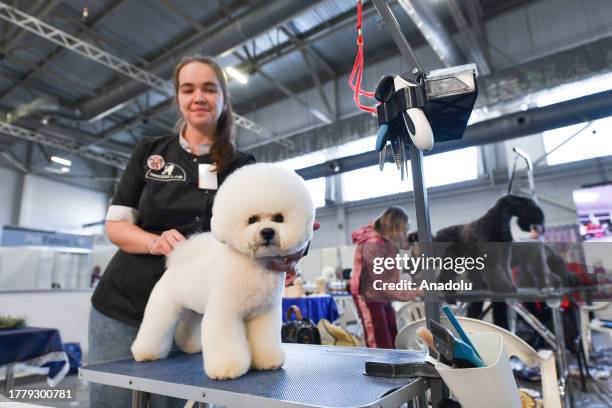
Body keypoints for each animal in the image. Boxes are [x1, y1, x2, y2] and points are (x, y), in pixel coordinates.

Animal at [133, 163, 316, 380]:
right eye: (252, 219)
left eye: (279, 218)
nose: (267, 232)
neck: (254, 267)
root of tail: (178, 258)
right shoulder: (225, 312)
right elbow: (225, 341)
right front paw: (227, 369)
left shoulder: (263, 314)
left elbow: (264, 340)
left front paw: (268, 361)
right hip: (164, 306)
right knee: (156, 327)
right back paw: (145, 353)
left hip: (195, 309)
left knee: (189, 325)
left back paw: (190, 346)